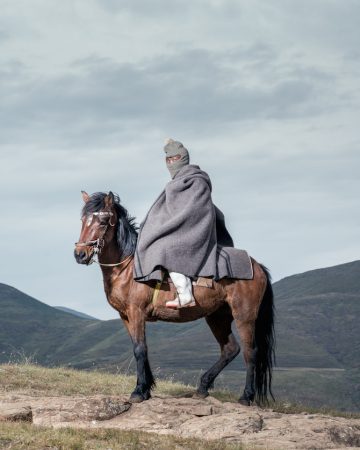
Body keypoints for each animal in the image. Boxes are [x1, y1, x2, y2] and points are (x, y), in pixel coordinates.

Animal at [74, 190, 276, 404]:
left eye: (103, 221)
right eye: (83, 220)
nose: (80, 254)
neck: (127, 268)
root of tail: (257, 266)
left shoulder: (137, 312)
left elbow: (139, 349)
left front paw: (138, 391)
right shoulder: (125, 316)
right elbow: (140, 348)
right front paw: (146, 389)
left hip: (244, 316)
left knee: (250, 351)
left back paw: (246, 396)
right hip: (217, 316)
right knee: (230, 348)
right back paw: (202, 387)